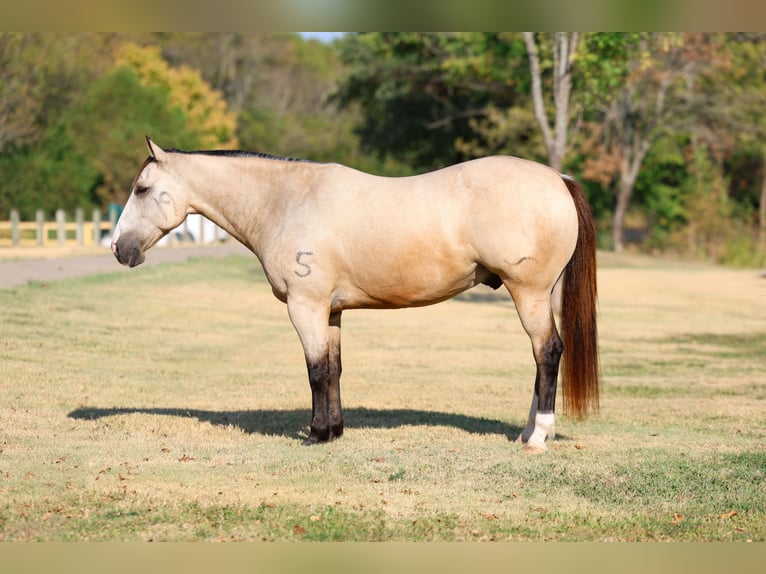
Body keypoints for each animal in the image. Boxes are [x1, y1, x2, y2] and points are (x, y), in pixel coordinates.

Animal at [112, 136, 599, 451]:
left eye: (141, 189)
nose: (119, 248)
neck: (287, 201)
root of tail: (557, 178)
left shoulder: (305, 307)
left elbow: (315, 372)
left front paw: (315, 435)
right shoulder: (330, 311)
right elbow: (334, 369)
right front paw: (334, 431)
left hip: (529, 293)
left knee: (548, 352)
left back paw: (538, 437)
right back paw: (527, 431)